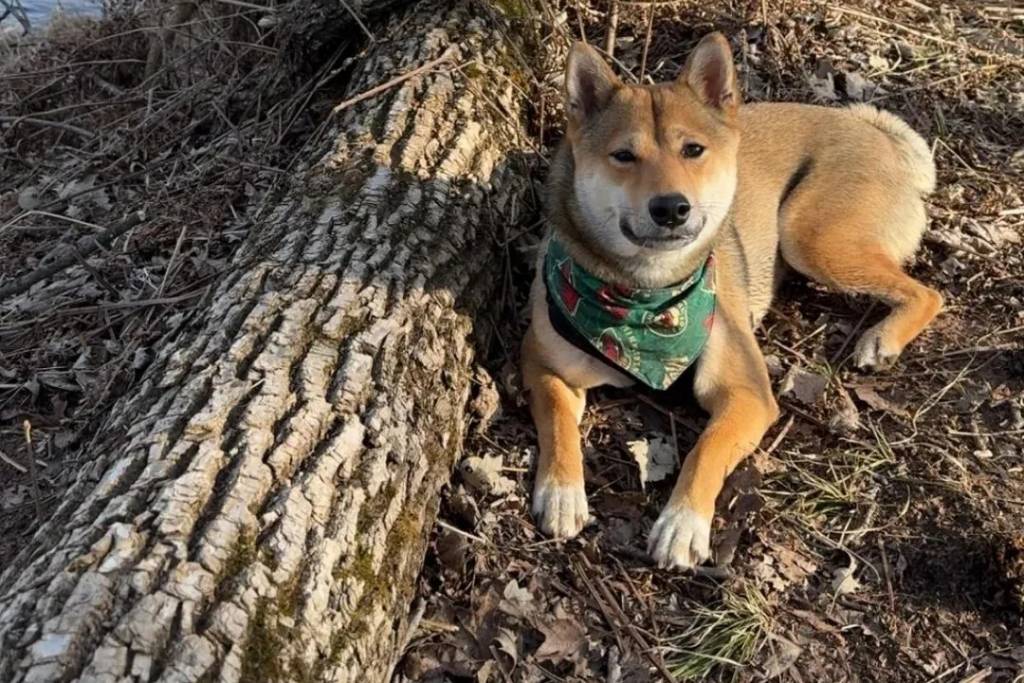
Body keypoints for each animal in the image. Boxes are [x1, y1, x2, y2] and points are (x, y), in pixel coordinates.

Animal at [521, 33, 941, 569]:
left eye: (693, 150)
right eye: (623, 156)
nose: (671, 208)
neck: (646, 300)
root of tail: (874, 130)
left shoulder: (747, 394)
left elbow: (707, 448)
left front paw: (682, 524)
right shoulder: (543, 363)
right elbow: (557, 423)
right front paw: (561, 492)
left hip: (810, 236)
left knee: (928, 291)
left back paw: (882, 339)